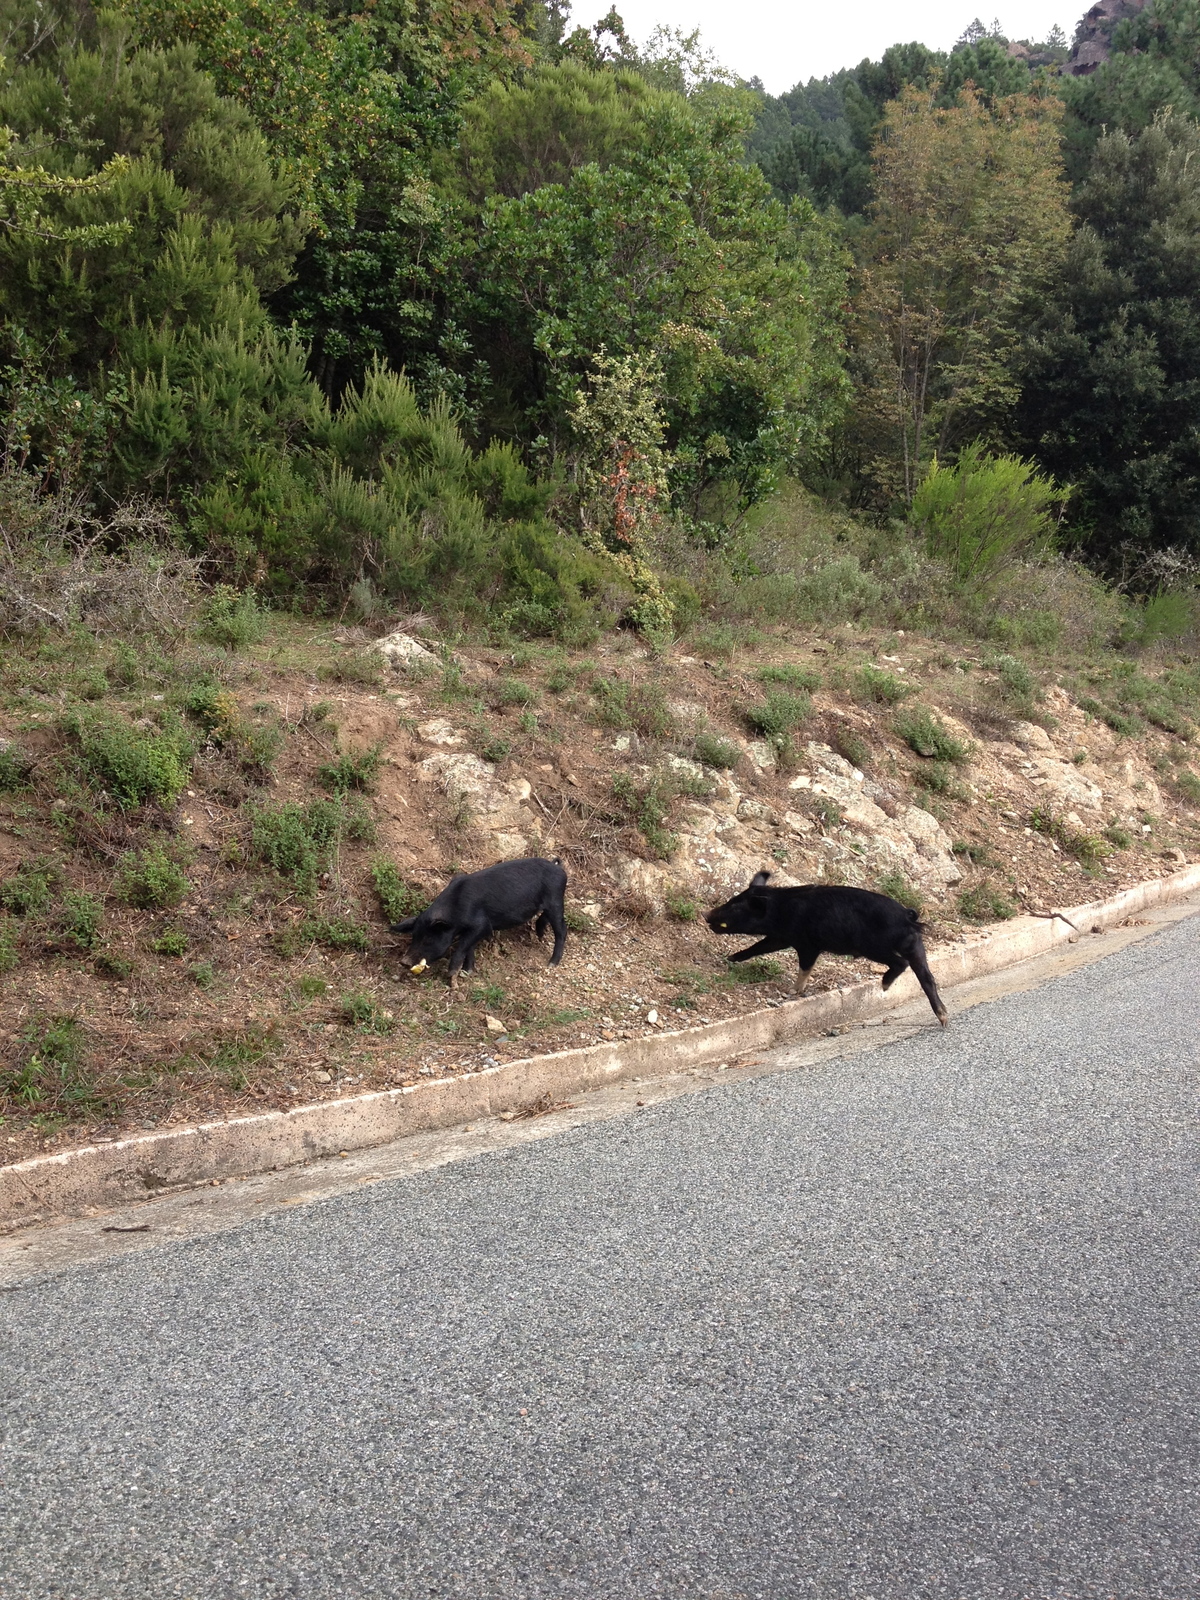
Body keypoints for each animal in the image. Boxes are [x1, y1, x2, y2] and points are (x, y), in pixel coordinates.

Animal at [390, 857, 569, 979]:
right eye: (414, 936)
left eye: (428, 939)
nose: (404, 961)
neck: (456, 911)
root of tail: (558, 868)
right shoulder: (471, 929)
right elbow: (469, 947)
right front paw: (467, 971)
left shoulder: (482, 925)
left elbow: (463, 946)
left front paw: (452, 974)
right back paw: (540, 936)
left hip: (555, 900)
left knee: (562, 930)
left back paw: (552, 964)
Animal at [704, 876, 947, 1024]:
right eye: (732, 899)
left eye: (735, 907)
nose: (707, 914)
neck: (781, 910)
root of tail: (907, 916)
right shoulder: (781, 937)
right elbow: (758, 947)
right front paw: (730, 958)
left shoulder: (807, 944)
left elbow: (804, 966)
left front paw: (794, 991)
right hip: (916, 946)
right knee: (927, 977)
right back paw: (944, 1018)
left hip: (874, 946)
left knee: (900, 964)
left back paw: (885, 987)